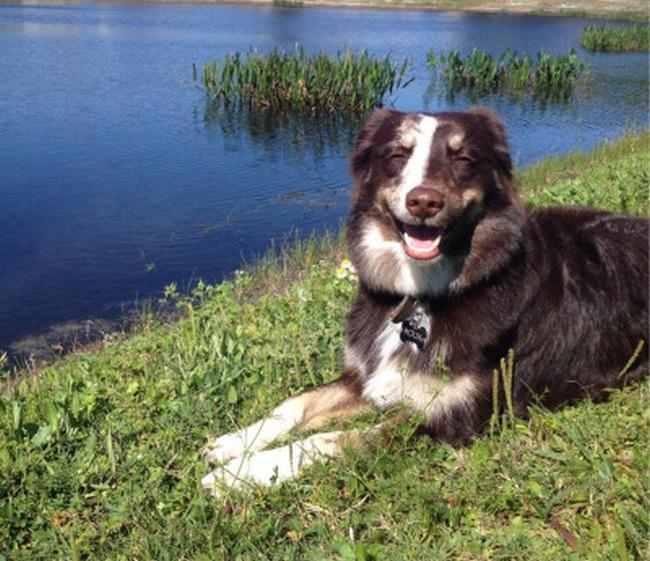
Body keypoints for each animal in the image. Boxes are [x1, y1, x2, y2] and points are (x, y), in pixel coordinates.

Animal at [200, 108, 644, 494]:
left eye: (464, 157)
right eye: (397, 154)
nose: (424, 202)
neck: (420, 295)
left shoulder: (449, 420)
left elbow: (330, 441)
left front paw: (245, 473)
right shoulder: (367, 377)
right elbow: (297, 403)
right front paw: (236, 442)